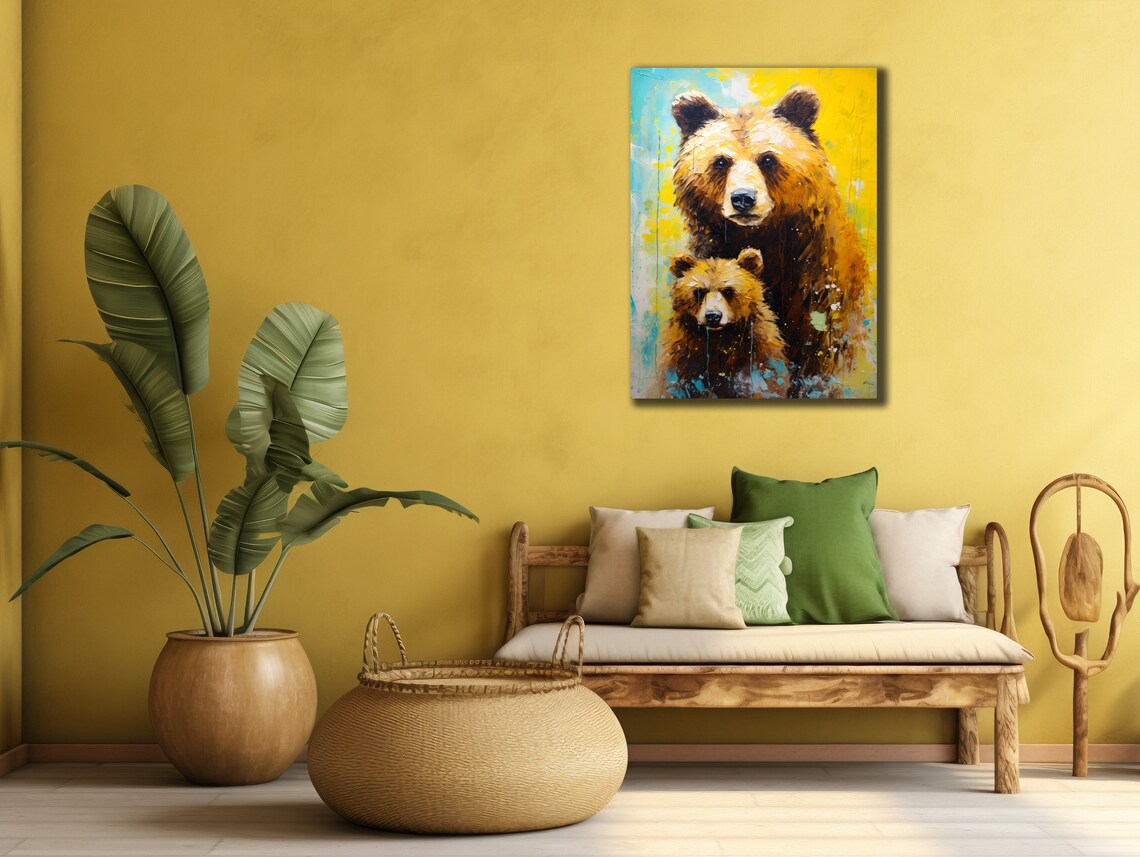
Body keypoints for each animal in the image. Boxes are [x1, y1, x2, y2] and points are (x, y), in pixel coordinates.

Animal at [659, 248, 788, 399]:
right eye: (699, 291)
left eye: (728, 291)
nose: (713, 316)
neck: (719, 338)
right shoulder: (683, 355)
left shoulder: (758, 352)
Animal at [671, 86, 872, 397]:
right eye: (721, 161)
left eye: (767, 159)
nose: (743, 198)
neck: (766, 238)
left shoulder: (818, 282)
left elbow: (825, 351)